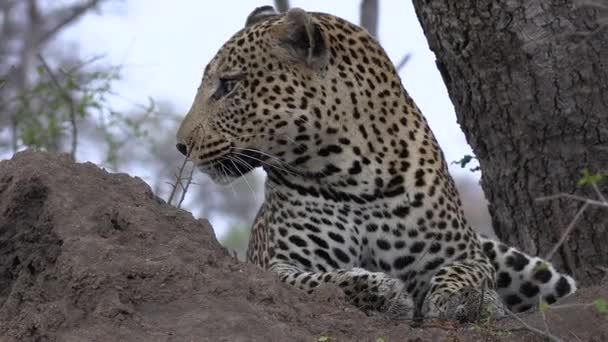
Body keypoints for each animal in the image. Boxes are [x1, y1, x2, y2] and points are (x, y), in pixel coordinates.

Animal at [175, 5, 576, 320]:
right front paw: (387, 293)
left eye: (228, 85)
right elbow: (326, 280)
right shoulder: (278, 265)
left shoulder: (465, 254)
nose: (182, 146)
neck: (353, 175)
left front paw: (461, 298)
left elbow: (465, 273)